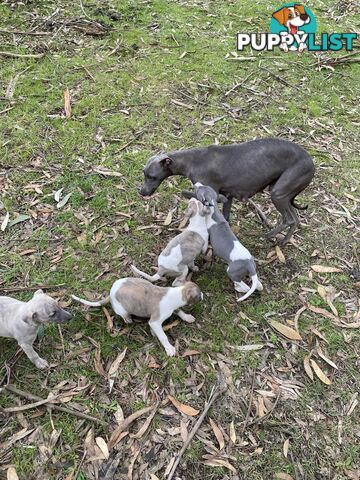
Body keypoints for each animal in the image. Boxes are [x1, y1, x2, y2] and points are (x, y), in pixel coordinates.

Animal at [72, 278, 204, 356]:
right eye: (199, 295)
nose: (203, 294)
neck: (177, 293)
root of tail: (111, 292)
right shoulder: (155, 321)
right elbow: (163, 336)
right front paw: (169, 348)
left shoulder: (173, 308)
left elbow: (179, 311)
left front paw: (187, 317)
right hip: (122, 309)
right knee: (124, 315)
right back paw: (128, 319)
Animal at [139, 138, 314, 244]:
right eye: (144, 173)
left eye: (152, 176)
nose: (142, 192)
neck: (191, 161)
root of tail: (311, 163)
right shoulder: (229, 195)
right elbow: (226, 216)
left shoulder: (212, 192)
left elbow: (185, 192)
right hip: (284, 193)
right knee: (295, 218)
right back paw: (284, 241)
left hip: (278, 193)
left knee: (289, 219)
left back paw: (268, 236)